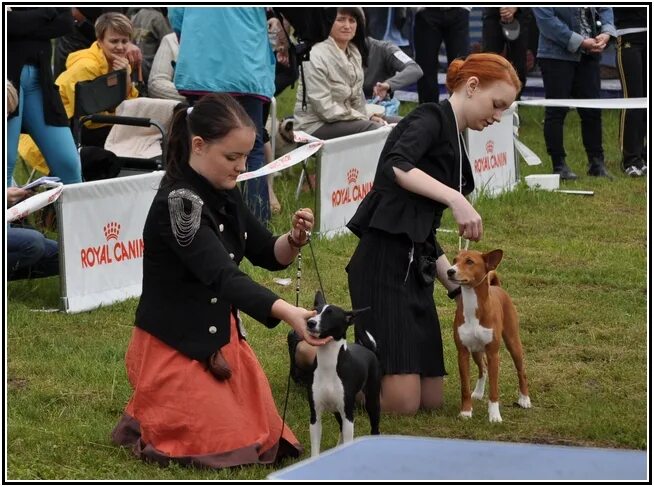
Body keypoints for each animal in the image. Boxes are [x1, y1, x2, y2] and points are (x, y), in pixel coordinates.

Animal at [308, 294, 384, 458]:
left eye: (330, 314)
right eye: (314, 311)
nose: (310, 322)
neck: (329, 365)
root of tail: (370, 350)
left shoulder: (348, 414)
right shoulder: (315, 414)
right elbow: (315, 451)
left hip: (372, 401)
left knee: (375, 428)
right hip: (337, 410)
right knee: (341, 429)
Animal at [446, 252, 532, 424]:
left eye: (469, 262)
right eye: (454, 260)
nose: (450, 271)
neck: (473, 308)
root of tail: (497, 287)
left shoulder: (493, 354)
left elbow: (494, 390)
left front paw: (494, 416)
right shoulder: (463, 353)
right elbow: (464, 387)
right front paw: (466, 412)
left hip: (513, 342)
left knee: (521, 371)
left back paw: (524, 399)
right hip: (476, 351)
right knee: (483, 368)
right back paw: (478, 392)